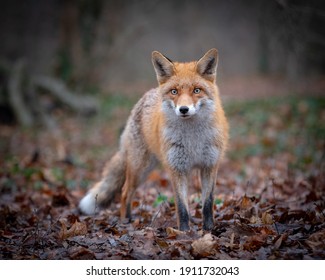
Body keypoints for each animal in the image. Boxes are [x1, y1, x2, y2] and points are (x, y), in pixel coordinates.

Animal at [78, 48, 228, 231]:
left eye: (196, 90)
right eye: (174, 91)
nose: (183, 109)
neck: (193, 140)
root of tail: (147, 94)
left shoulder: (209, 166)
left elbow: (207, 204)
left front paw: (209, 230)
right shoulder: (177, 168)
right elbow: (182, 207)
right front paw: (184, 233)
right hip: (139, 169)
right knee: (125, 192)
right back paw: (125, 222)